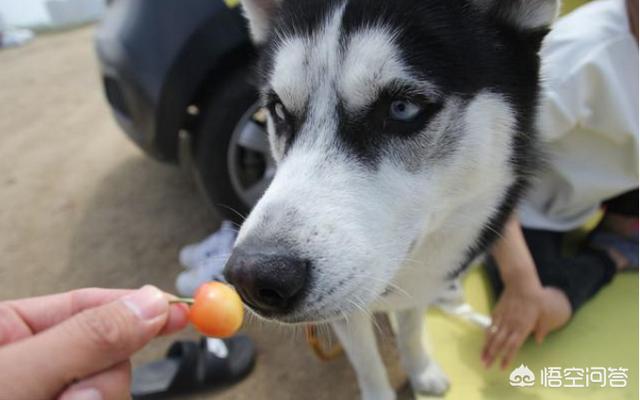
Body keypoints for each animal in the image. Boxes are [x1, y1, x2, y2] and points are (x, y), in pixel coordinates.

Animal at [225, 1, 560, 398]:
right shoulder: (349, 313)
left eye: (402, 108)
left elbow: (412, 332)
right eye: (277, 109)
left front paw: (421, 370)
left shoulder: (415, 290)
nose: (251, 276)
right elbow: (368, 364)